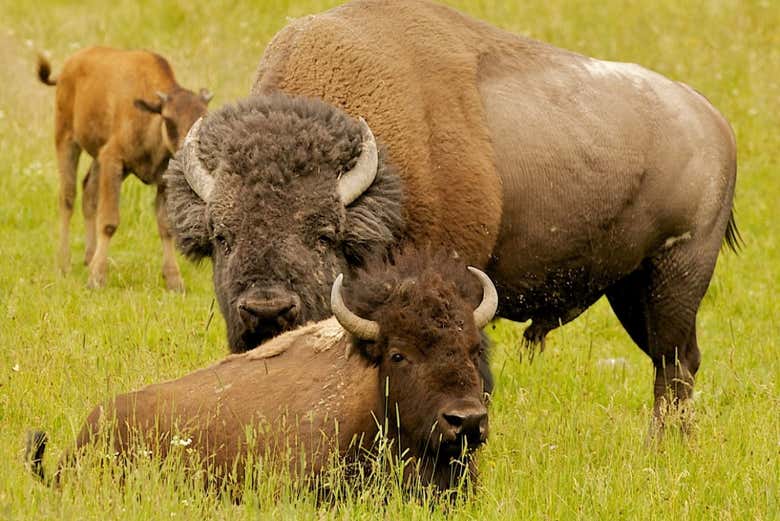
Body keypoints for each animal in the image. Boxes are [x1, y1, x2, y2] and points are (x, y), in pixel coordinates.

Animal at [38, 46, 212, 290]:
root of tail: (68, 68)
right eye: (168, 119)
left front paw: (174, 281)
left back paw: (89, 257)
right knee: (67, 197)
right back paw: (64, 264)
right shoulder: (113, 159)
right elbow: (109, 221)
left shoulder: (159, 179)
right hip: (66, 139)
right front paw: (97, 279)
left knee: (88, 193)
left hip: (97, 157)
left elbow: (166, 226)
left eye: (203, 118)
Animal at [165, 0, 739, 431]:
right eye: (222, 236)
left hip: (678, 272)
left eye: (324, 234)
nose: (266, 309)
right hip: (631, 289)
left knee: (673, 365)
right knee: (676, 359)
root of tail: (712, 118)